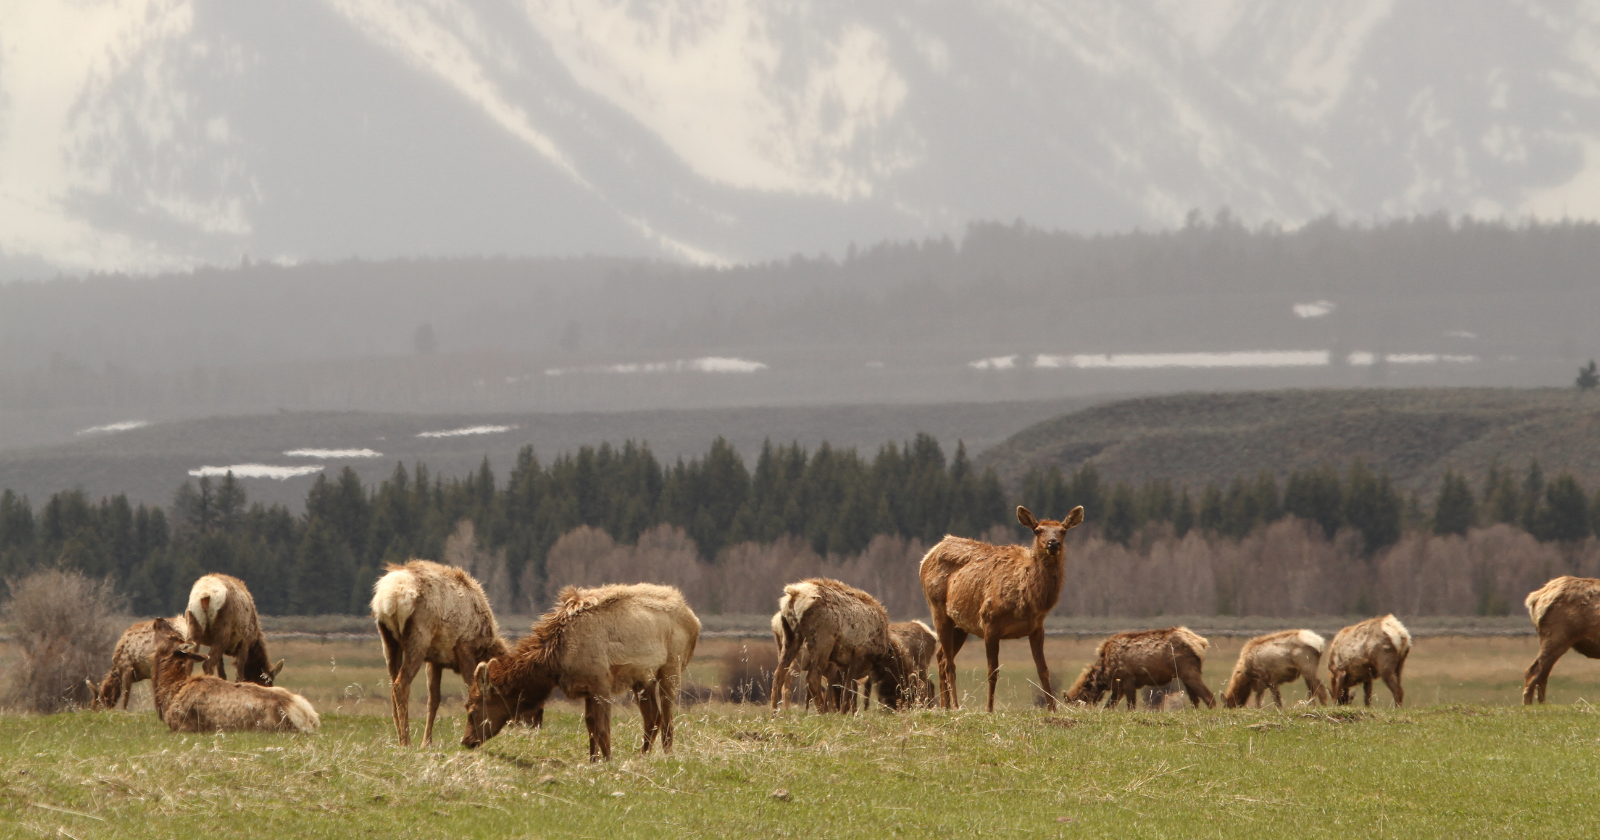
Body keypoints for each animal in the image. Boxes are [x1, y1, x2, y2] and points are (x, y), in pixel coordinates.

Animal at [371, 559, 514, 746]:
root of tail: (389, 597)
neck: (484, 646)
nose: (515, 721)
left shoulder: (435, 659)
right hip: (419, 636)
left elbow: (434, 700)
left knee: (393, 684)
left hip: (388, 638)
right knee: (401, 684)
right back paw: (406, 742)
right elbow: (471, 688)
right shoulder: (464, 647)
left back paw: (400, 739)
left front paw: (427, 742)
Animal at [462, 583, 700, 760]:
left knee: (668, 717)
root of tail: (695, 621)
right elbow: (591, 727)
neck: (554, 663)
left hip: (671, 666)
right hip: (642, 678)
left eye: (472, 711)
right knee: (653, 718)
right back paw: (642, 756)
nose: (466, 741)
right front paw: (593, 761)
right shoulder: (586, 688)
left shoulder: (601, 683)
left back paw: (667, 755)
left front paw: (608, 761)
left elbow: (603, 729)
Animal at [920, 505, 1084, 711]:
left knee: (941, 657)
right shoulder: (989, 621)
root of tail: (927, 557)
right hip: (937, 608)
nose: (1053, 543)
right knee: (950, 663)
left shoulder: (1037, 627)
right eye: (1038, 530)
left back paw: (945, 707)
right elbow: (992, 671)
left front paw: (1052, 709)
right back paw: (956, 706)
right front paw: (989, 709)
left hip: (960, 624)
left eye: (1063, 531)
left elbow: (1043, 670)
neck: (1028, 599)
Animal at [1063, 627, 1216, 710]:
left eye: (1080, 699)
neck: (1105, 673)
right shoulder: (1119, 687)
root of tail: (1201, 643)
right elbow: (1108, 707)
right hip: (1185, 675)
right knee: (1195, 700)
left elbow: (1131, 707)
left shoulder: (1127, 681)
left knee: (1210, 697)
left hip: (1189, 671)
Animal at [1522, 576, 1600, 704]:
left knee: (1542, 674)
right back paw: (1529, 705)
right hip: (1557, 638)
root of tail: (1535, 598)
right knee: (1534, 671)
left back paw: (1541, 704)